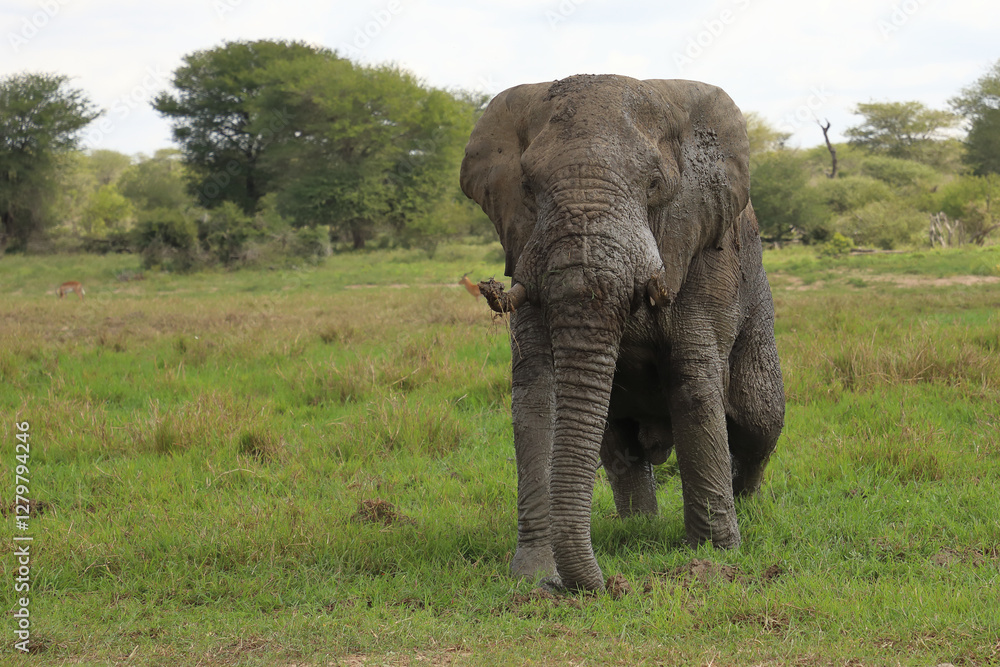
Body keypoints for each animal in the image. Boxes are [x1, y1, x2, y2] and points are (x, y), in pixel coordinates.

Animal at [459, 74, 785, 592]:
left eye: (654, 184)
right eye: (527, 186)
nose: (604, 586)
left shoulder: (703, 253)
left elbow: (693, 379)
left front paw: (716, 557)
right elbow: (537, 389)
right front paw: (534, 577)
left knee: (759, 419)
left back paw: (746, 505)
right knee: (622, 447)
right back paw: (638, 527)